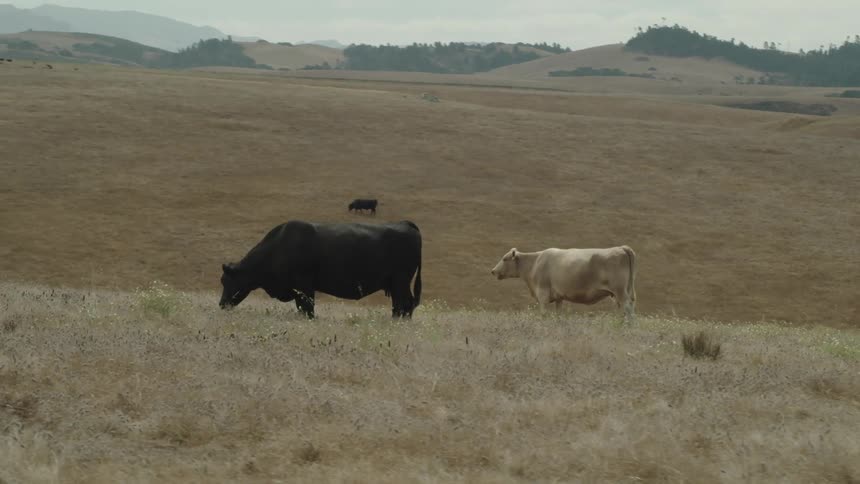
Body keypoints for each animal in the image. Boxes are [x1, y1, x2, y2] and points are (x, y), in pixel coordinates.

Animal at [219, 220, 422, 319]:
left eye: (226, 280)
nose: (221, 304)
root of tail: (405, 223)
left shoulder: (304, 285)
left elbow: (307, 307)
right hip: (395, 284)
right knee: (399, 304)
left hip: (401, 280)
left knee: (405, 303)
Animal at [490, 246, 637, 323]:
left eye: (505, 259)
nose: (493, 271)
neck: (535, 263)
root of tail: (620, 248)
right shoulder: (559, 297)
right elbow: (558, 315)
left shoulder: (542, 294)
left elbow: (543, 314)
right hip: (618, 293)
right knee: (623, 308)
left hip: (620, 291)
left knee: (627, 308)